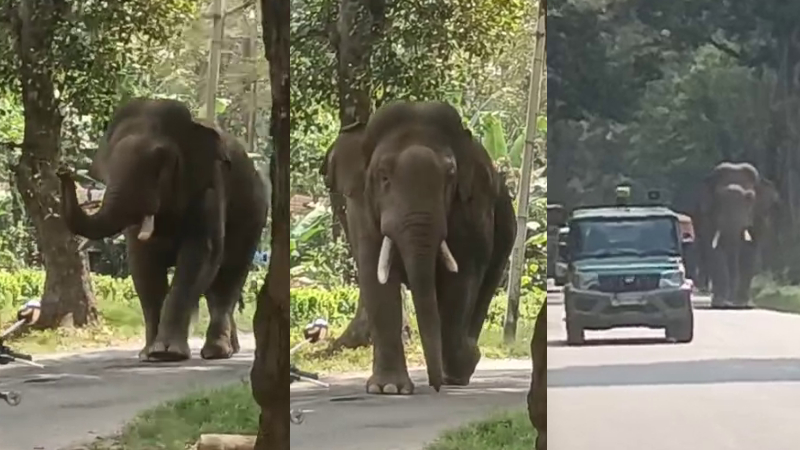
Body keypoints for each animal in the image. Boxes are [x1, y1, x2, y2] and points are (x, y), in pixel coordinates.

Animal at [58, 98, 269, 362]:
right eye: (106, 167)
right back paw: (229, 348)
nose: (63, 171)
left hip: (254, 218)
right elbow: (143, 264)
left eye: (160, 164)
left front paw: (168, 353)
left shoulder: (210, 188)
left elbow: (200, 256)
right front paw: (149, 355)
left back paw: (217, 352)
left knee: (227, 278)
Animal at [326, 100, 516, 395]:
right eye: (383, 177)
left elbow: (462, 276)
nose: (435, 386)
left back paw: (461, 367)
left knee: (483, 286)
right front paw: (388, 388)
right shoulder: (360, 207)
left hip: (506, 231)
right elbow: (374, 274)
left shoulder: (474, 209)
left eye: (450, 176)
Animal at [694, 162, 778, 308]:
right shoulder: (706, 214)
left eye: (750, 198)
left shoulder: (759, 215)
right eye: (719, 197)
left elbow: (751, 249)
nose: (730, 303)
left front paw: (743, 304)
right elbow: (713, 249)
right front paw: (719, 303)